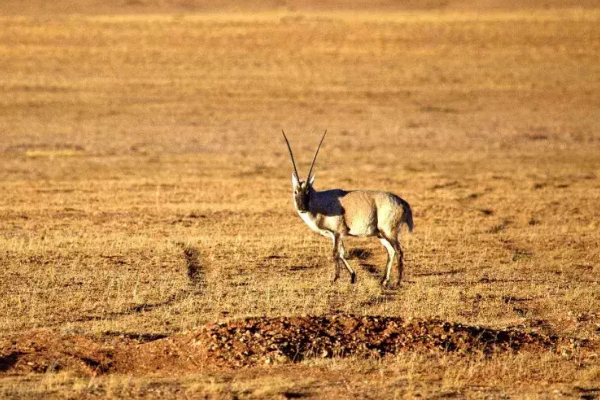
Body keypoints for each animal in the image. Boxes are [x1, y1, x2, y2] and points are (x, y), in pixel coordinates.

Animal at [284, 131, 414, 288]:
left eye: (308, 191)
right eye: (295, 191)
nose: (302, 208)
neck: (320, 201)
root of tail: (403, 203)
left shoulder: (338, 232)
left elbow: (335, 253)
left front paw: (335, 278)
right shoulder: (332, 235)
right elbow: (342, 253)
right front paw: (352, 277)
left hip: (389, 231)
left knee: (399, 251)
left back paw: (398, 282)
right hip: (381, 234)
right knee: (391, 251)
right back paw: (384, 280)